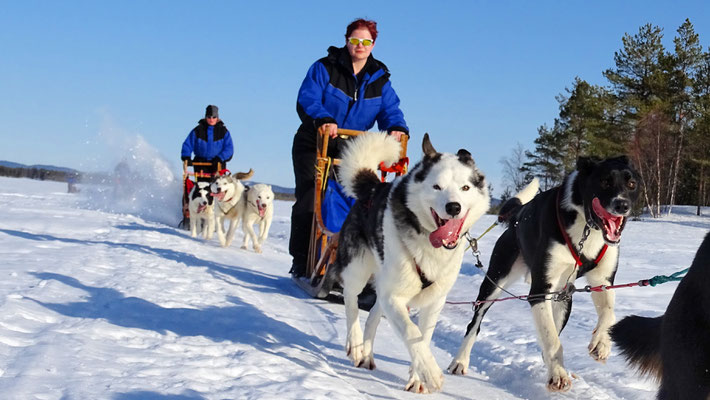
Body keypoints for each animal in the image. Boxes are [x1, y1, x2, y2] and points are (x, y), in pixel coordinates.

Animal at [332, 132, 492, 394]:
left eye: (465, 187)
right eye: (437, 186)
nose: (453, 207)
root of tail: (374, 186)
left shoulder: (433, 301)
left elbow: (423, 338)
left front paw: (418, 377)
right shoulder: (395, 296)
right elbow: (411, 331)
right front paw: (431, 373)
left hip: (386, 285)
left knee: (374, 313)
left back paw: (367, 354)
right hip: (358, 269)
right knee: (351, 300)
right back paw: (355, 344)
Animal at [450, 155, 644, 390]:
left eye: (631, 184)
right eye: (605, 182)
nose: (622, 204)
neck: (586, 227)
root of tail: (516, 216)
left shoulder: (603, 281)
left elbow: (608, 312)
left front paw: (601, 342)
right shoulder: (539, 291)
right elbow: (552, 338)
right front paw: (558, 374)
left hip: (563, 296)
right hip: (494, 283)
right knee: (475, 323)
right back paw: (460, 361)